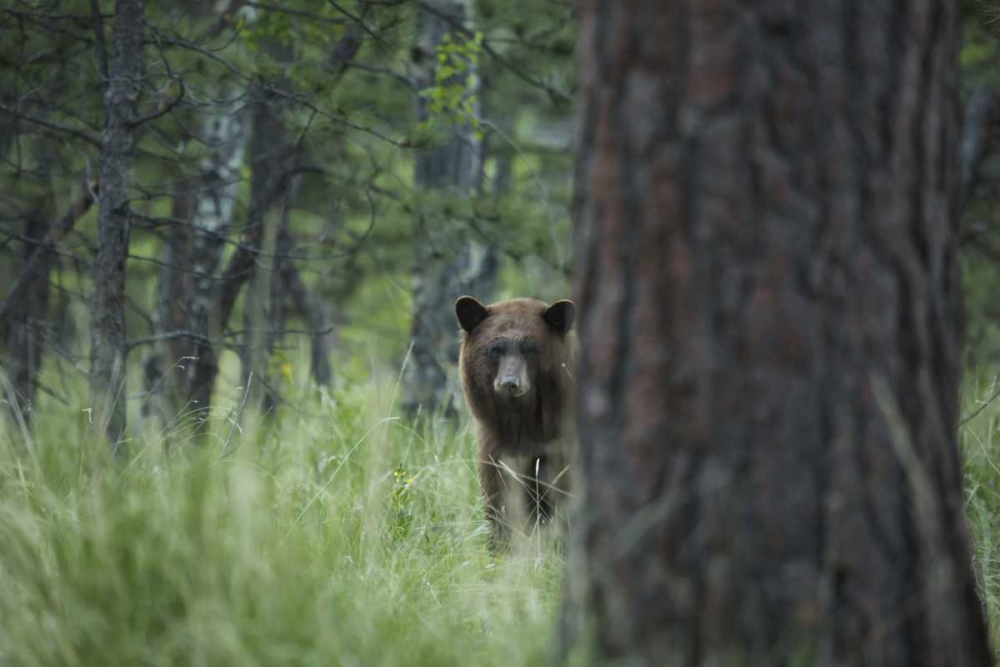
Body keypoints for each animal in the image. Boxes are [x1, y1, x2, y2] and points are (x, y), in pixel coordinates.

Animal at [454, 295, 577, 550]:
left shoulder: (562, 445)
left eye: (530, 348)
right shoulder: (495, 446)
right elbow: (499, 498)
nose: (510, 383)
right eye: (495, 349)